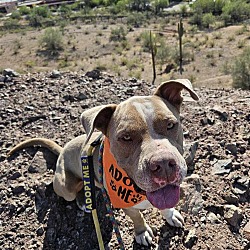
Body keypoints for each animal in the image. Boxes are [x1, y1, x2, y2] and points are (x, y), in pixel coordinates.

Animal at [8, 78, 199, 246]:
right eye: (126, 137)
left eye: (170, 125)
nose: (164, 164)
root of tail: (62, 150)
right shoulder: (128, 207)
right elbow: (137, 217)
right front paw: (142, 231)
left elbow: (165, 206)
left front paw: (170, 215)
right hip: (65, 186)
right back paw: (83, 201)